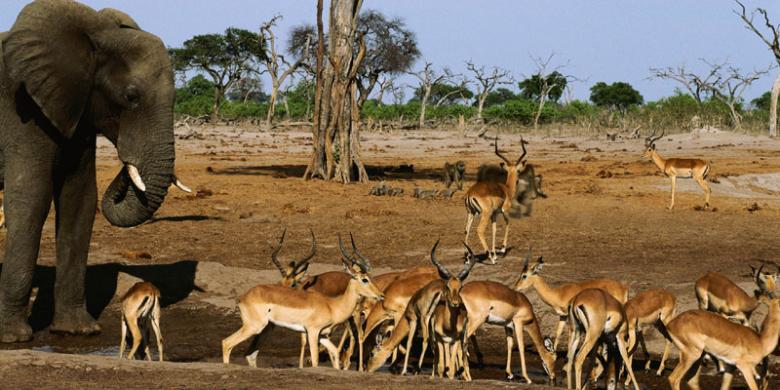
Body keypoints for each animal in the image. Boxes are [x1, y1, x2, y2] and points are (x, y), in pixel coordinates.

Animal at [0, 0, 187, 342]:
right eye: (131, 96)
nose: (126, 166)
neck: (94, 35)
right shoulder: (23, 111)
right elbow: (31, 197)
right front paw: (14, 338)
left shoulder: (77, 111)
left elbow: (80, 200)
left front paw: (79, 331)